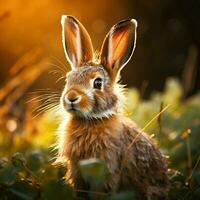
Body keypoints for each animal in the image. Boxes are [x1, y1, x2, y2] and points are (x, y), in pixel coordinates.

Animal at [56, 15, 169, 198]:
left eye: (98, 83)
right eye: (68, 79)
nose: (71, 98)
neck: (91, 120)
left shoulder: (108, 170)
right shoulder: (77, 171)